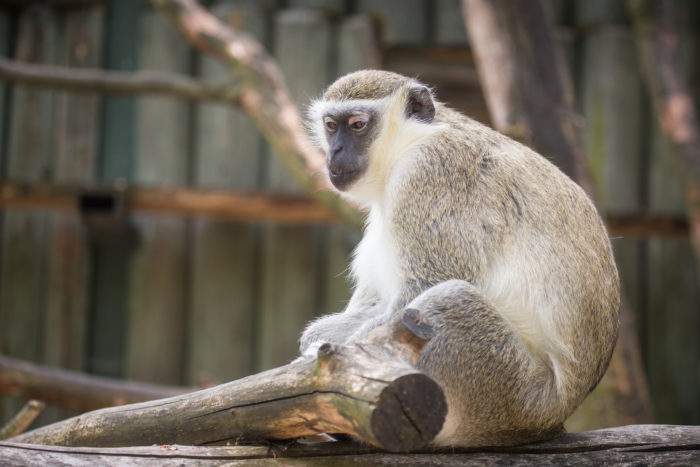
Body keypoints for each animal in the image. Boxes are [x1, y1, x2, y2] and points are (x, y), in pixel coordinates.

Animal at [300, 69, 616, 446]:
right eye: (332, 125)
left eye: (358, 124)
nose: (335, 151)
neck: (411, 141)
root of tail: (553, 418)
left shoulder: (432, 172)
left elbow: (421, 288)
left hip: (504, 392)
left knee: (447, 301)